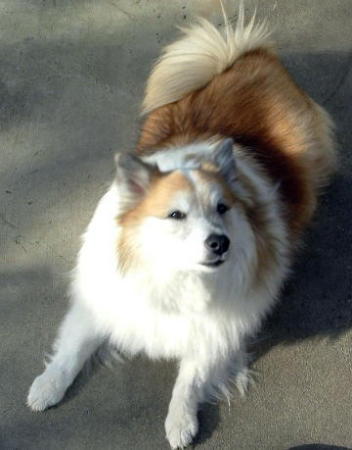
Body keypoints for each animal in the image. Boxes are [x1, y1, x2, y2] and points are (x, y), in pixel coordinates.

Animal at [26, 5, 336, 448]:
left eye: (223, 208)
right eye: (176, 215)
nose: (220, 243)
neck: (173, 275)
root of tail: (249, 56)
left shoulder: (216, 330)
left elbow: (189, 379)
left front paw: (180, 421)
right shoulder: (104, 298)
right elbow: (72, 348)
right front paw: (47, 386)